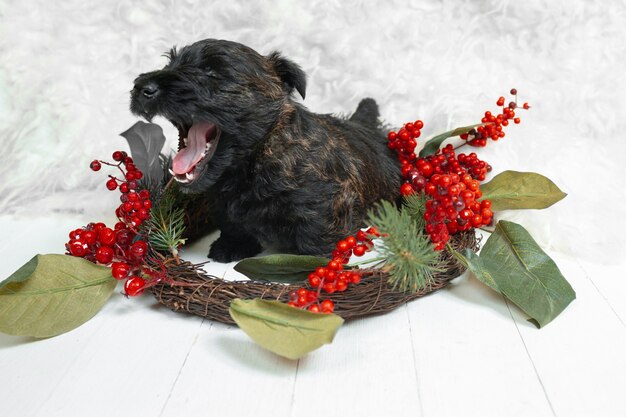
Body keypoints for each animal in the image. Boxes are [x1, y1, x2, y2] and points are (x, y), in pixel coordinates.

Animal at [130, 39, 400, 260]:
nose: (144, 88)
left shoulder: (330, 203)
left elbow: (318, 236)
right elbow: (232, 225)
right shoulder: (222, 204)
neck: (253, 159)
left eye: (212, 72)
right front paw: (232, 247)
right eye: (170, 63)